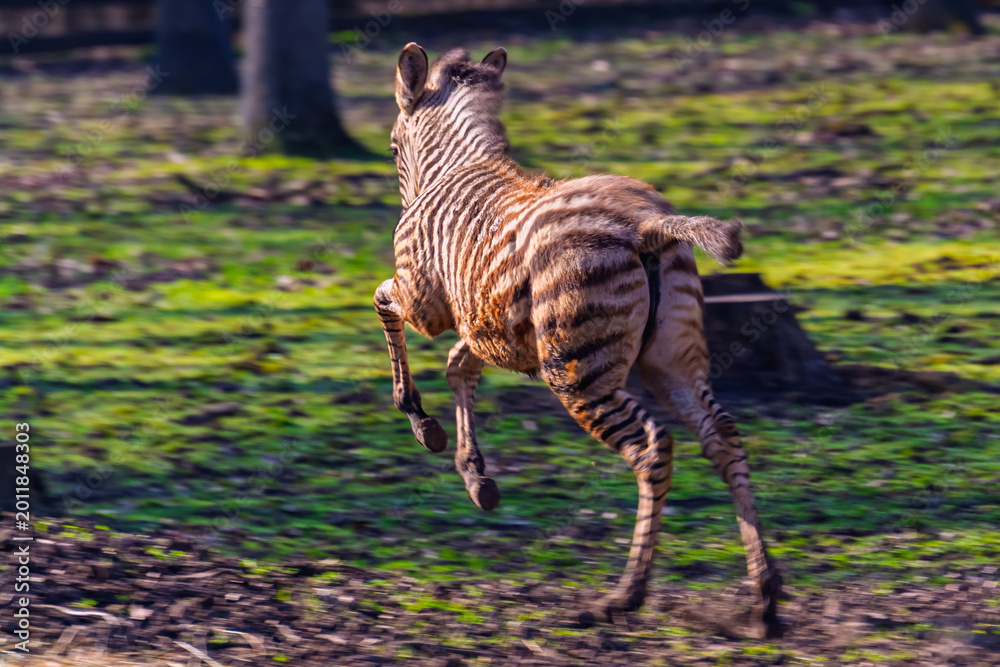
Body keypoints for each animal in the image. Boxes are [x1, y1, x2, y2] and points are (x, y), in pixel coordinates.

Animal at [374, 43, 782, 637]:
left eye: (390, 146)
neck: (456, 168)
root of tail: (647, 225)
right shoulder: (489, 327)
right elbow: (458, 367)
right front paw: (475, 477)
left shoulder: (424, 299)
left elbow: (383, 301)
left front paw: (419, 420)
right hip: (671, 363)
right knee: (722, 437)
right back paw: (764, 600)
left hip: (576, 374)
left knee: (652, 449)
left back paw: (624, 596)